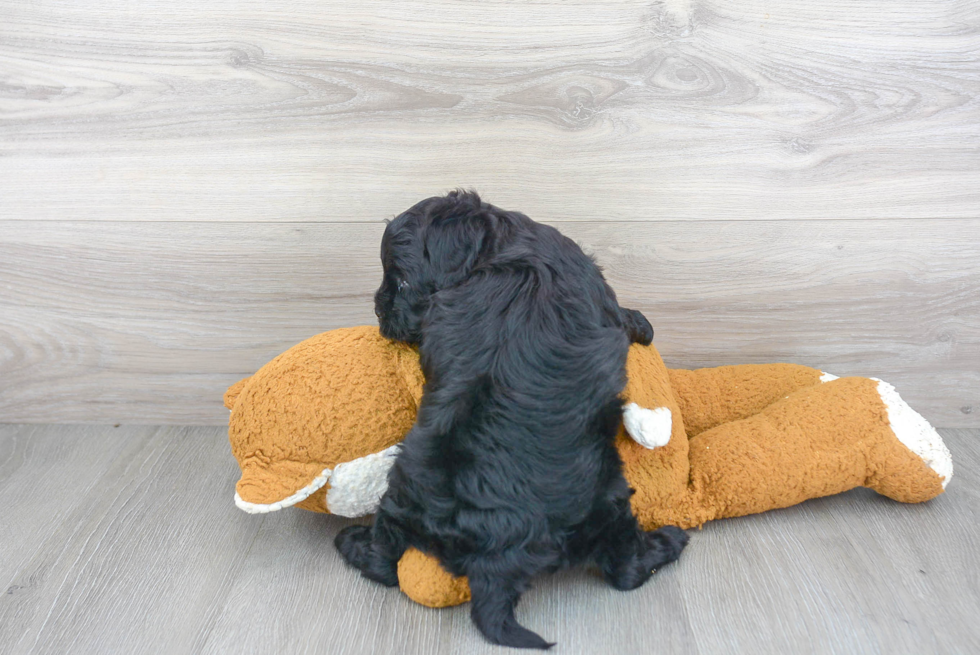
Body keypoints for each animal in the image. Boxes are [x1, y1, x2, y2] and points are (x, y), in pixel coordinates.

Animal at [336, 191, 688, 652]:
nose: (379, 314)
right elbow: (623, 316)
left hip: (400, 493)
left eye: (403, 284)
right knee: (625, 569)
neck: (498, 248)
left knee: (383, 562)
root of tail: (491, 559)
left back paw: (351, 542)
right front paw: (642, 323)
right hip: (608, 502)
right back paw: (669, 542)